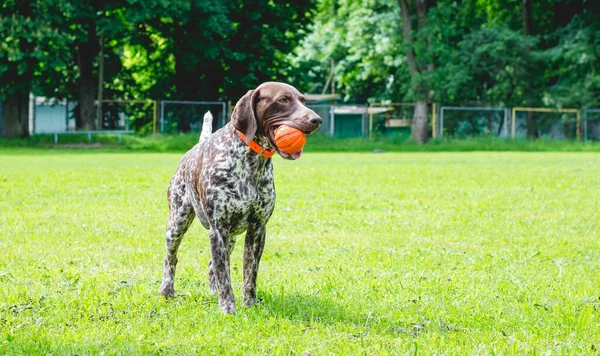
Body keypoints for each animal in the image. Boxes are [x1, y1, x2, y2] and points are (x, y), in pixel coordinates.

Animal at [157, 81, 322, 314]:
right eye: (283, 100)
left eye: (303, 100)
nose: (316, 120)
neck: (251, 163)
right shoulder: (218, 230)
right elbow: (225, 276)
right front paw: (228, 310)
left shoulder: (257, 229)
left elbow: (249, 273)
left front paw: (249, 305)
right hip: (177, 224)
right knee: (171, 258)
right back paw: (166, 291)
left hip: (232, 237)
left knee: (212, 266)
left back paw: (212, 293)